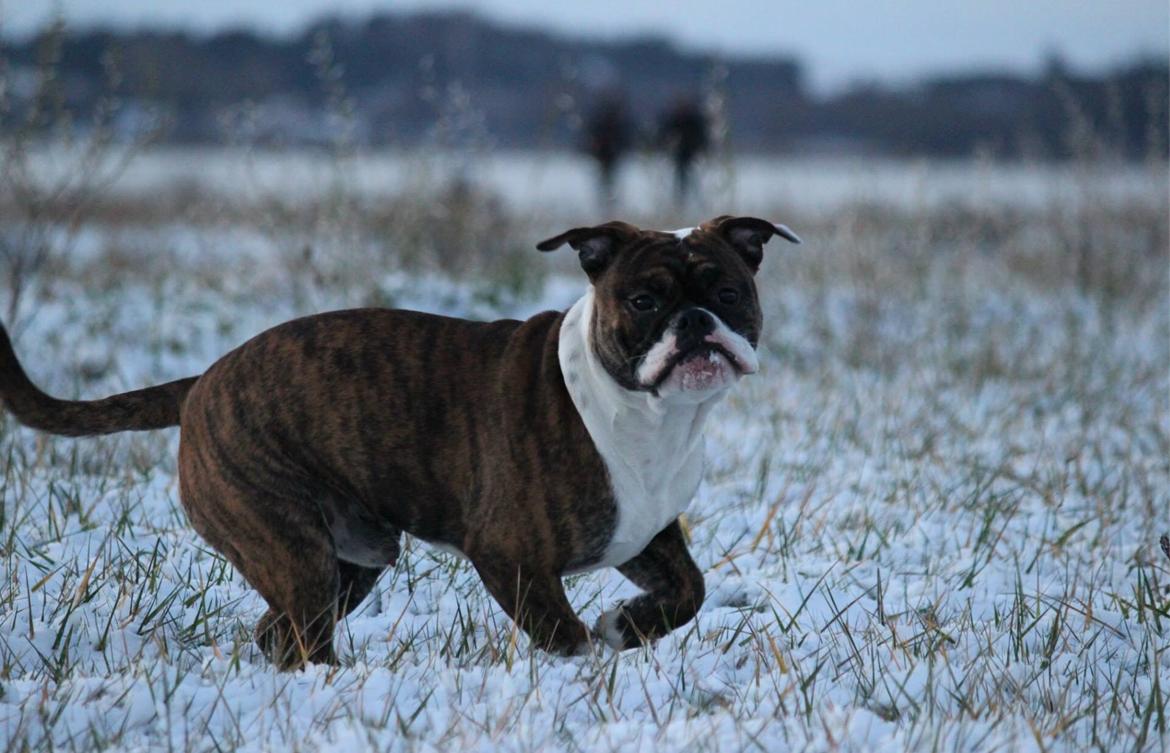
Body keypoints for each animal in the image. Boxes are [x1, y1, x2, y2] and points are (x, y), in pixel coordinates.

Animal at [0, 215, 795, 668]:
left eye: (728, 292)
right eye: (644, 299)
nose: (695, 321)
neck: (645, 411)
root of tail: (202, 383)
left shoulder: (644, 530)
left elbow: (689, 590)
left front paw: (628, 627)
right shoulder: (511, 554)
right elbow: (560, 630)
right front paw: (591, 664)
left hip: (348, 561)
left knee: (279, 631)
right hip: (292, 546)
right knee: (303, 637)